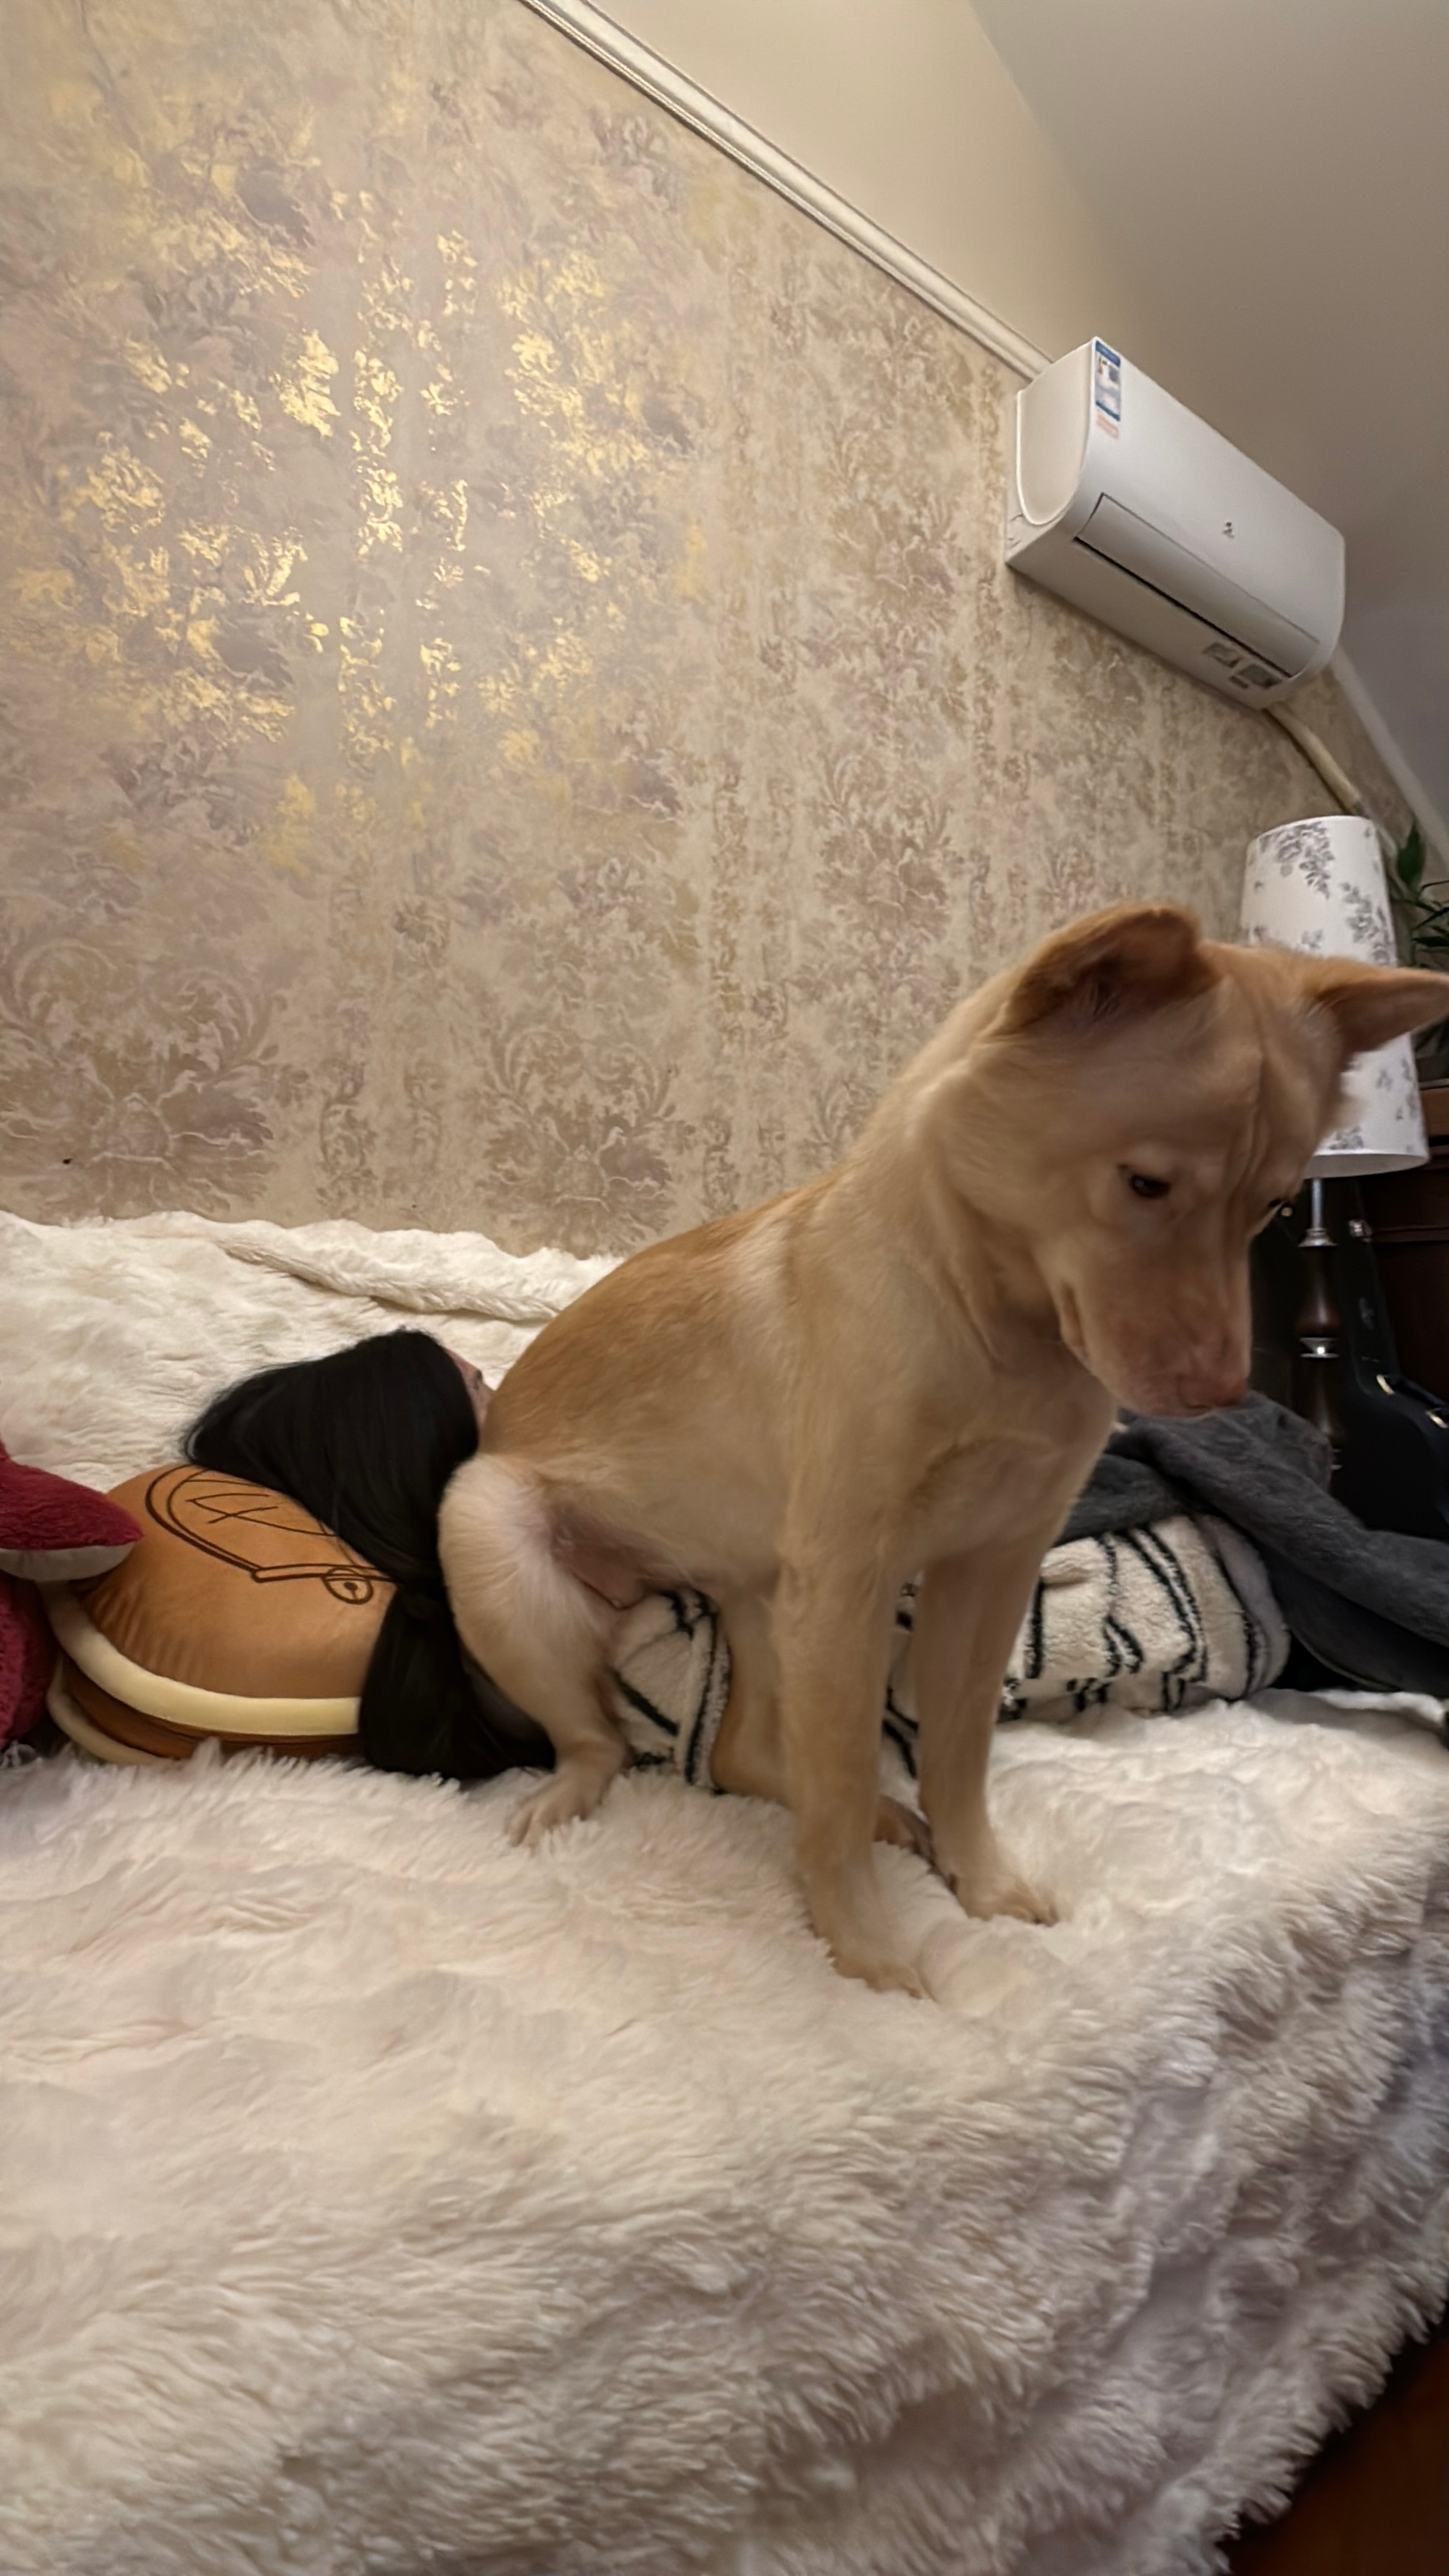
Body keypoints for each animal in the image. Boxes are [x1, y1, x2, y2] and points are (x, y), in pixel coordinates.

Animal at [440, 904, 1445, 1993]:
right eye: (1145, 1183)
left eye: (1274, 1205)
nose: (1224, 1396)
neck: (998, 1332)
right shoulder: (850, 1581)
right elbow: (837, 1785)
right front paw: (864, 1949)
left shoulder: (990, 1573)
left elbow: (956, 1761)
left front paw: (981, 1885)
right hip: (500, 1554)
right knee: (607, 1743)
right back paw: (570, 1799)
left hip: (767, 1602)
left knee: (742, 1754)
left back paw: (875, 1812)